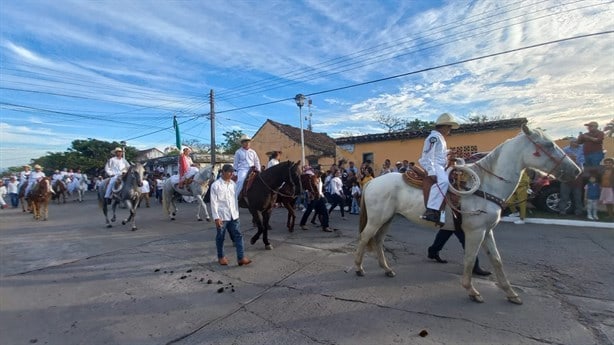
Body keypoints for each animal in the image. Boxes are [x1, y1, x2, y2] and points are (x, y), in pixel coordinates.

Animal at [356, 124, 584, 304]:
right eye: (548, 145)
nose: (577, 171)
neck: (486, 185)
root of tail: (371, 182)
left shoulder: (488, 230)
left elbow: (497, 260)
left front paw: (510, 293)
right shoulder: (475, 231)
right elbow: (470, 257)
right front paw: (472, 290)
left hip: (388, 219)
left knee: (378, 241)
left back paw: (386, 269)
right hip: (377, 219)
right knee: (365, 238)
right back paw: (358, 268)